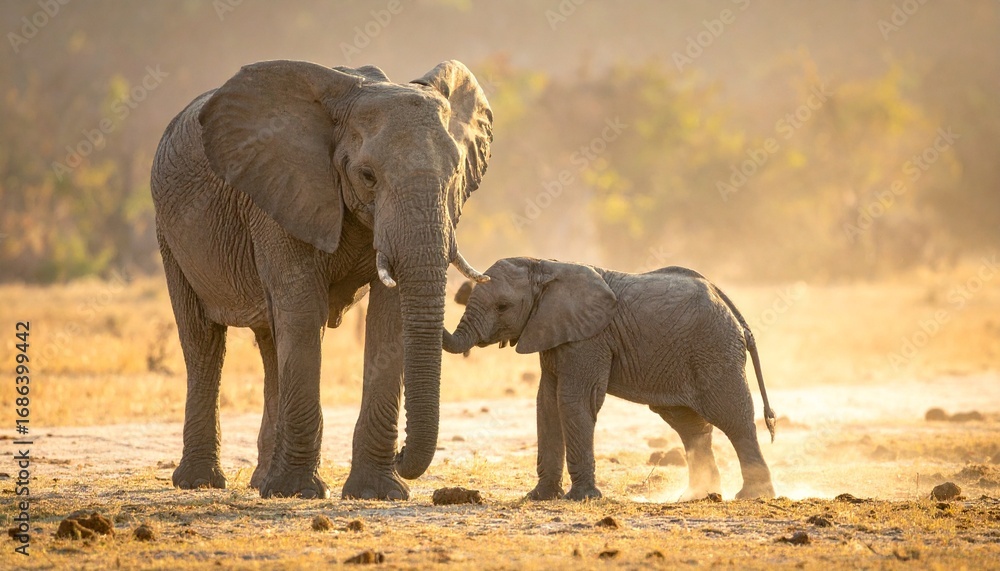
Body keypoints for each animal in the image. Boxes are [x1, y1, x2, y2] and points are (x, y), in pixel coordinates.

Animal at [150, 59, 493, 499]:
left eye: (455, 174)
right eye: (367, 175)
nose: (403, 454)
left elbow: (387, 321)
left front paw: (376, 492)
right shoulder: (280, 193)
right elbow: (302, 310)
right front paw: (298, 491)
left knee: (270, 343)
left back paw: (261, 480)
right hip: (169, 233)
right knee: (204, 342)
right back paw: (201, 482)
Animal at [442, 258, 777, 501]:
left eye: (503, 306)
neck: (544, 265)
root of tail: (731, 308)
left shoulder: (589, 339)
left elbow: (572, 401)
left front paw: (581, 498)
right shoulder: (552, 332)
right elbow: (546, 404)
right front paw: (539, 497)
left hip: (714, 350)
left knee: (733, 417)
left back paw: (752, 495)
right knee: (690, 426)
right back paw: (697, 496)